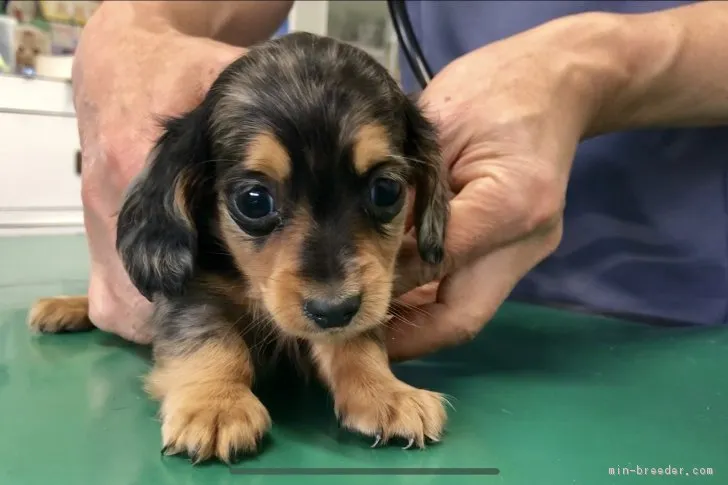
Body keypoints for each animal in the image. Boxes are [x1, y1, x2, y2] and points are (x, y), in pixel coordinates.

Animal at [29, 32, 450, 464]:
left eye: (386, 190)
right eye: (254, 201)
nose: (334, 310)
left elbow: (358, 341)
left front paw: (385, 391)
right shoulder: (190, 291)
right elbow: (212, 340)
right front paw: (216, 403)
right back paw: (64, 306)